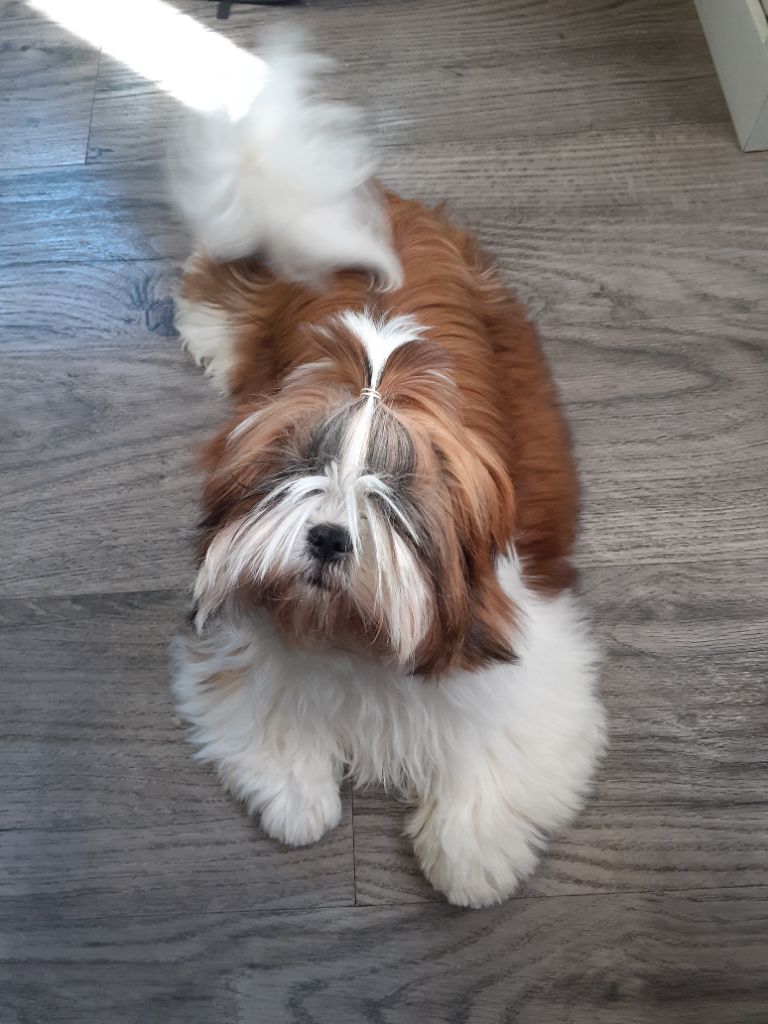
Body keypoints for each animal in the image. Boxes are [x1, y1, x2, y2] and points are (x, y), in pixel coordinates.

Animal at [170, 32, 605, 908]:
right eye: (304, 466)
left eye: (397, 497)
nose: (330, 538)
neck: (353, 638)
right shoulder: (246, 645)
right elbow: (269, 699)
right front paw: (297, 799)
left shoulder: (529, 651)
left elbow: (500, 749)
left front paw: (471, 857)